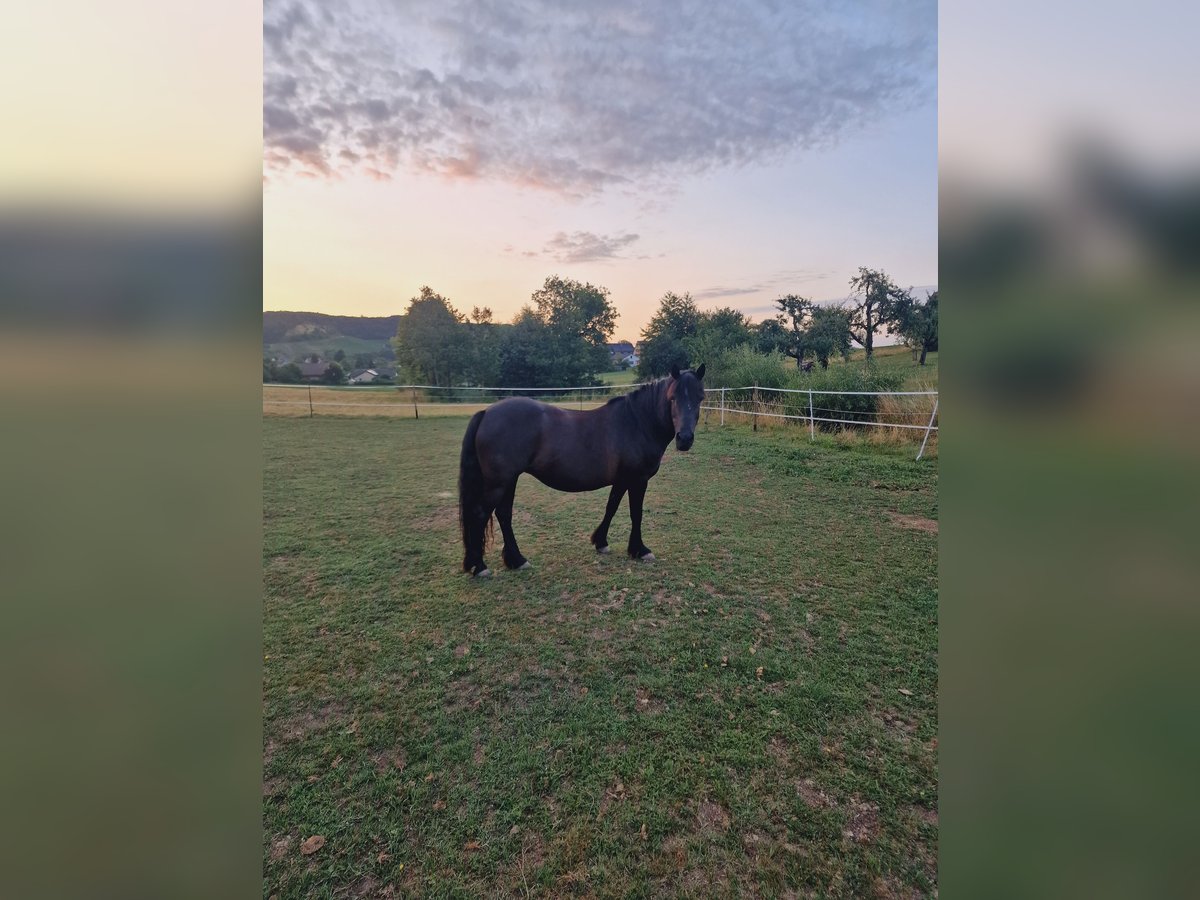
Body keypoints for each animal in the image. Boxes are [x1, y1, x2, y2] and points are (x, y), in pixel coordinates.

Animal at [456, 364, 700, 578]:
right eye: (673, 398)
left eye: (700, 399)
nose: (685, 439)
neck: (637, 423)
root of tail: (486, 412)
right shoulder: (637, 480)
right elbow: (636, 513)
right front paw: (640, 550)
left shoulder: (622, 480)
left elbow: (611, 507)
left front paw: (601, 542)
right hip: (499, 482)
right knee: (481, 514)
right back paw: (479, 566)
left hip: (509, 479)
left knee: (504, 514)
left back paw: (516, 560)